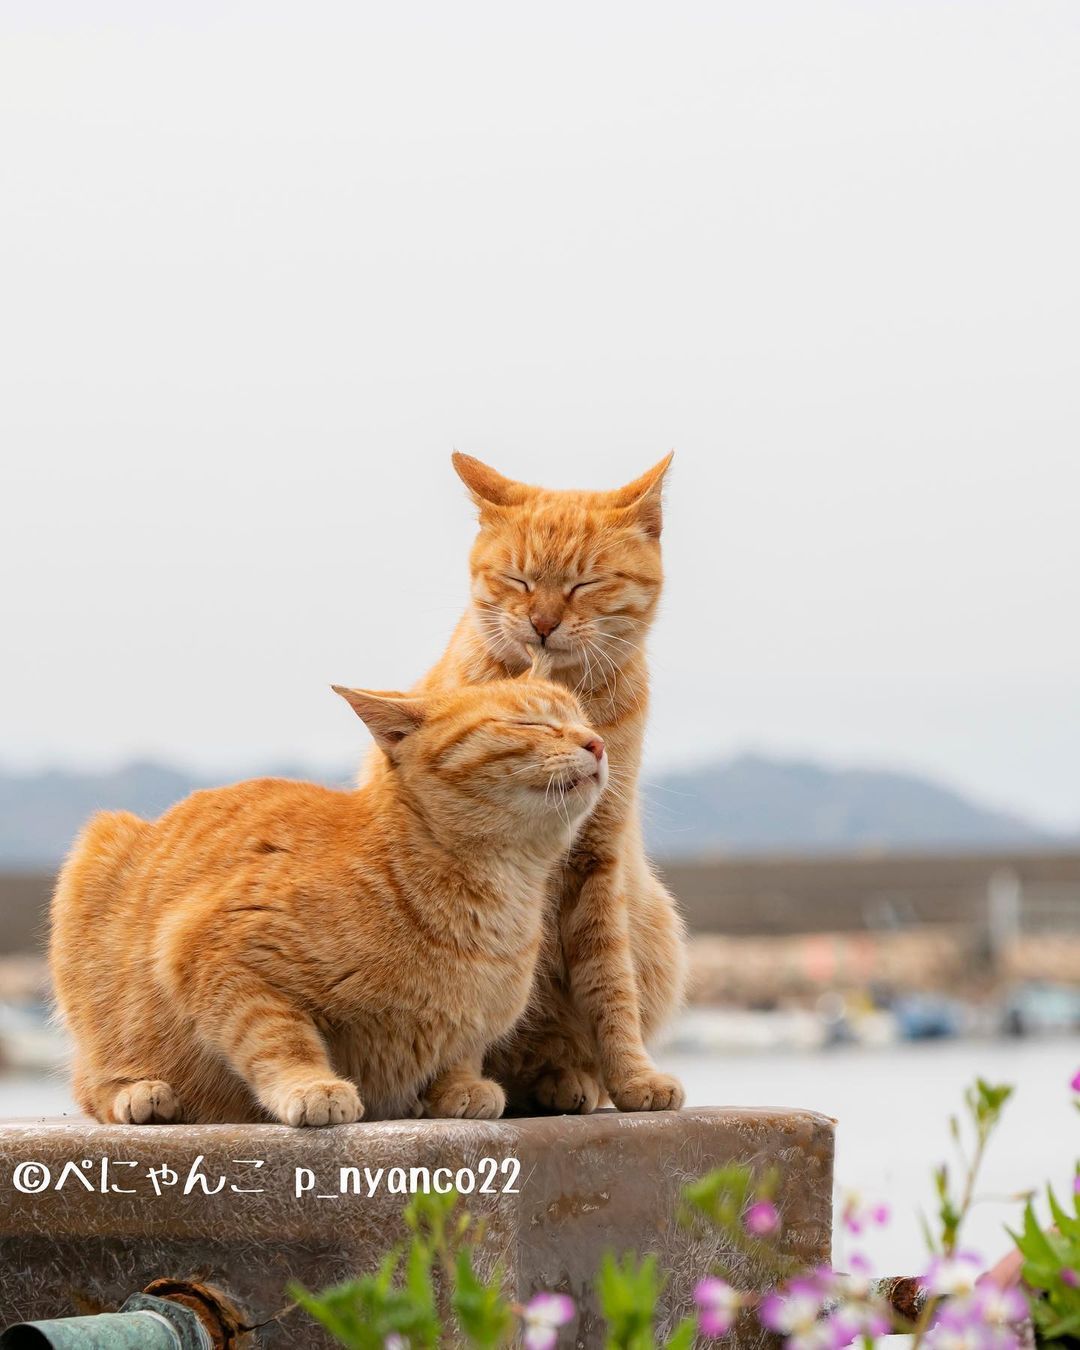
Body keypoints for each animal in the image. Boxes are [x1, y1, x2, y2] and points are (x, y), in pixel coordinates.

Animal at [48, 675, 607, 1128]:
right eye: (530, 722)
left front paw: (459, 1087)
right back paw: (141, 1094)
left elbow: (459, 1054)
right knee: (92, 1081)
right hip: (96, 858)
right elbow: (277, 1037)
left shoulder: (471, 1025)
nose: (597, 742)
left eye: (583, 721)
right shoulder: (213, 952)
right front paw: (311, 1085)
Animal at [372, 453, 688, 1117]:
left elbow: (611, 989)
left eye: (583, 585)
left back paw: (566, 1079)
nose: (542, 623)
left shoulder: (598, 861)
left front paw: (632, 1077)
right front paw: (458, 1087)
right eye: (517, 581)